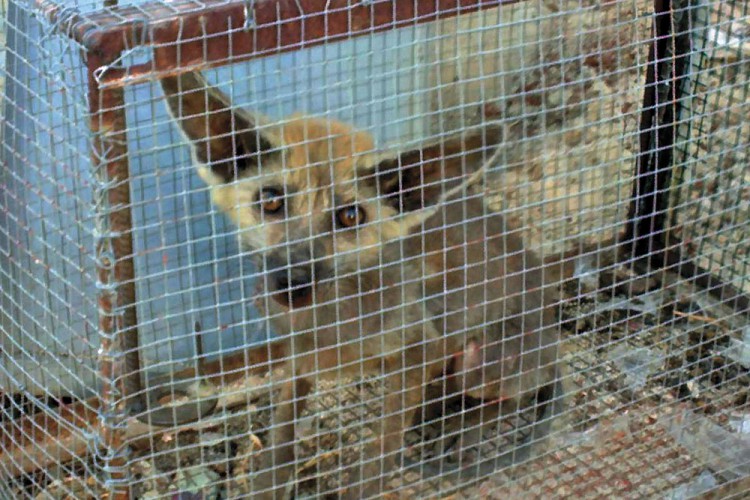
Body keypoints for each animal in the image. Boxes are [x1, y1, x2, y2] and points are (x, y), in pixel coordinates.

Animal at [162, 71, 560, 500]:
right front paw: (268, 486)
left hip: (479, 364)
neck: (327, 321)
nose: (292, 282)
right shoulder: (298, 357)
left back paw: (463, 426)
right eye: (269, 201)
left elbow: (381, 448)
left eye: (350, 216)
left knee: (509, 397)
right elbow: (281, 440)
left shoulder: (422, 346)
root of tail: (552, 335)